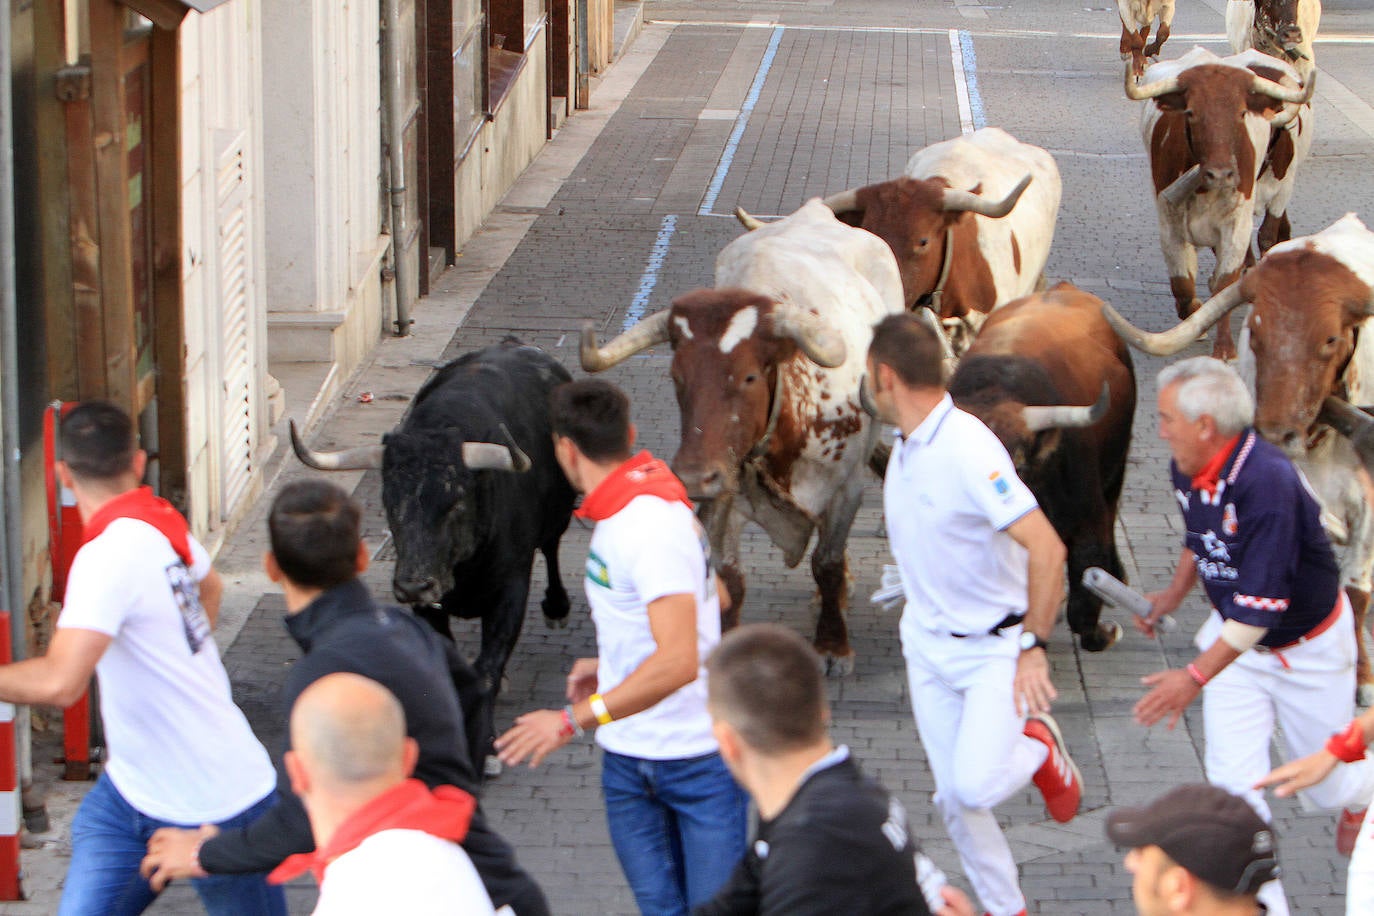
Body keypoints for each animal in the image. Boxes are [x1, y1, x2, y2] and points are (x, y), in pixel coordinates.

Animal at [289, 336, 574, 774]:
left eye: (454, 502)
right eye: (390, 502)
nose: (413, 585)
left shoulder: (511, 587)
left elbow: (488, 667)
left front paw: (487, 747)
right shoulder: (428, 606)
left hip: (558, 516)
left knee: (553, 547)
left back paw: (557, 607)